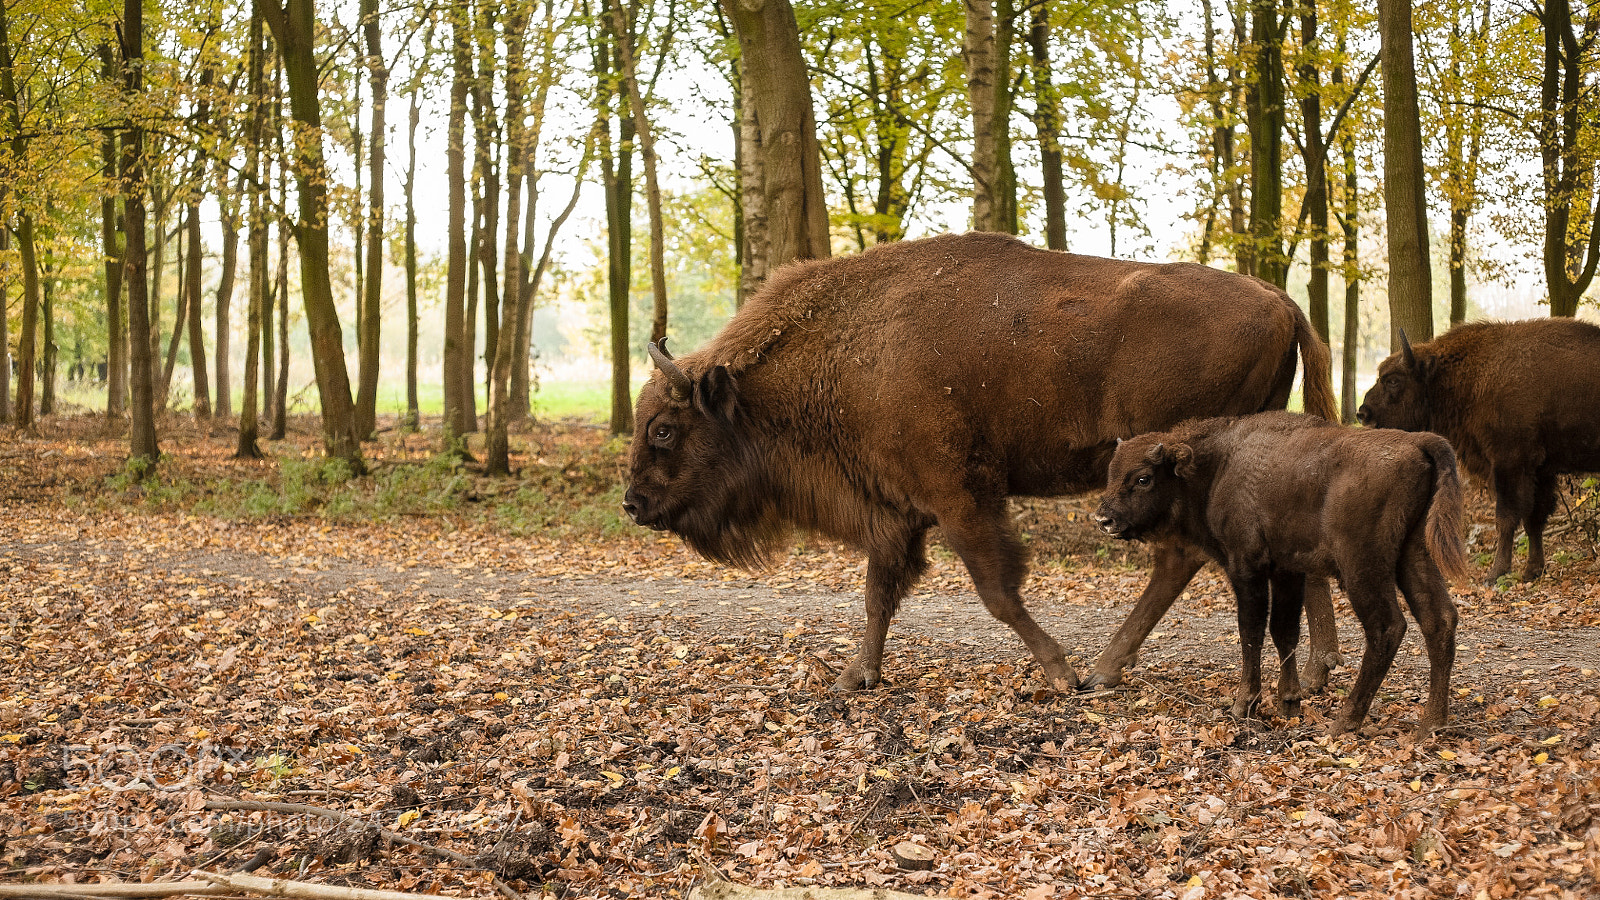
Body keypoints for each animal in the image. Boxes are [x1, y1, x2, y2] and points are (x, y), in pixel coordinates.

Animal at [623, 232, 1337, 694]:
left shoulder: (958, 495)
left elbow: (994, 588)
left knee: (1176, 559)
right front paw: (858, 676)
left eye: (662, 429)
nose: (633, 504)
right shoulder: (897, 508)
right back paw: (1318, 669)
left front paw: (1059, 672)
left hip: (1168, 470)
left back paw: (1104, 669)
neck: (854, 347)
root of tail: (1283, 301)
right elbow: (879, 590)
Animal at [1094, 412, 1468, 738]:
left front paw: (1244, 704)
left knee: (1387, 627)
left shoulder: (1246, 567)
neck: (1217, 467)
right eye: (1111, 472)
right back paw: (1431, 724)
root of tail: (1417, 443)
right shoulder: (1288, 571)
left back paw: (1344, 722)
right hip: (1414, 555)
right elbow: (1283, 631)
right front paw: (1289, 703)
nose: (1103, 519)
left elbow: (1252, 631)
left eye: (1143, 478)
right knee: (1439, 619)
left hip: (1363, 566)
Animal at [1357, 318, 1600, 583]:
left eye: (1393, 380)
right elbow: (1534, 519)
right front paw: (1532, 571)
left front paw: (1495, 573)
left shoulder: (1509, 463)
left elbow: (1506, 518)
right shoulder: (1540, 471)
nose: (1362, 413)